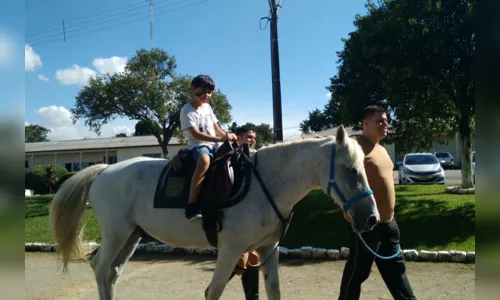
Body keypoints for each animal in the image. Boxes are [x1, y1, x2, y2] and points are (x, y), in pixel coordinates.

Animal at [49, 124, 378, 300]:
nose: (372, 218)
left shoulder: (267, 249)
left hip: (132, 236)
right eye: (351, 170)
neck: (266, 182)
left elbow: (273, 291)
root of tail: (104, 170)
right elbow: (214, 290)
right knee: (100, 267)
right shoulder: (230, 249)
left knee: (111, 272)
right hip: (117, 234)